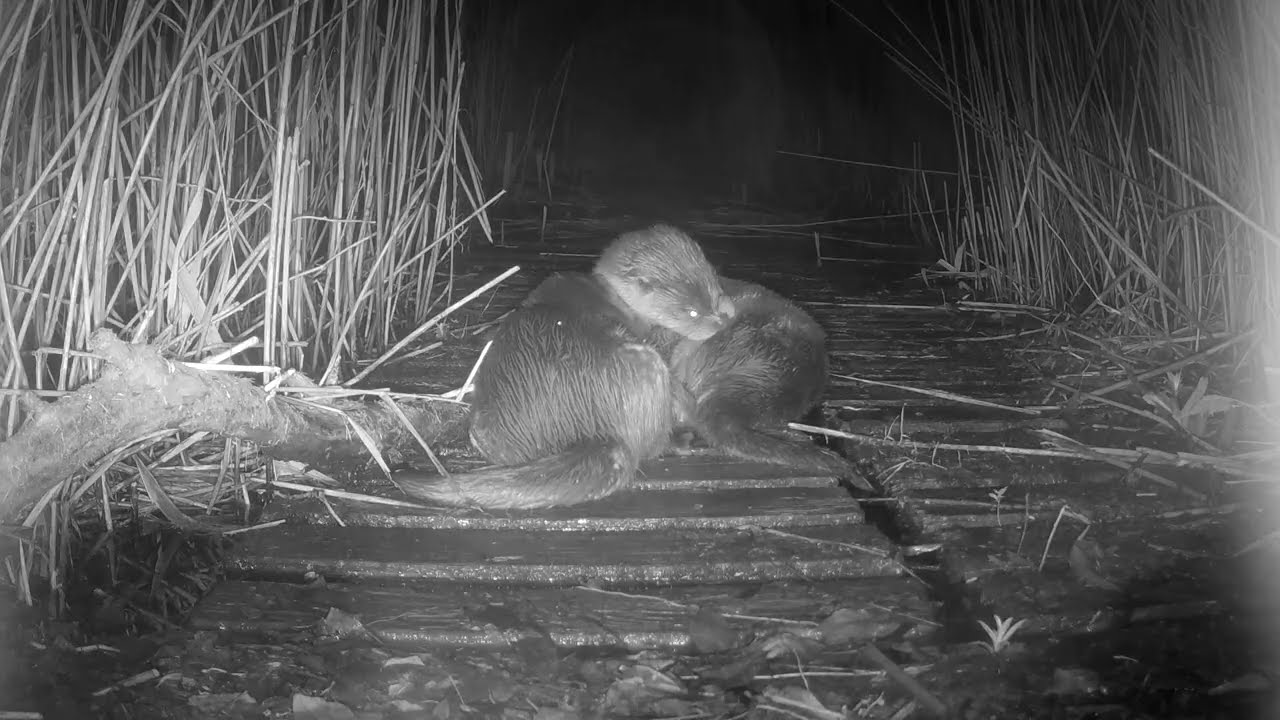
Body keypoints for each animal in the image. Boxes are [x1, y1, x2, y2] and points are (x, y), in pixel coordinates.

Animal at [392, 224, 733, 509]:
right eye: (691, 312)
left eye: (716, 293)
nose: (720, 322)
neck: (615, 300)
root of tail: (585, 424)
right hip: (646, 366)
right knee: (652, 444)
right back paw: (680, 441)